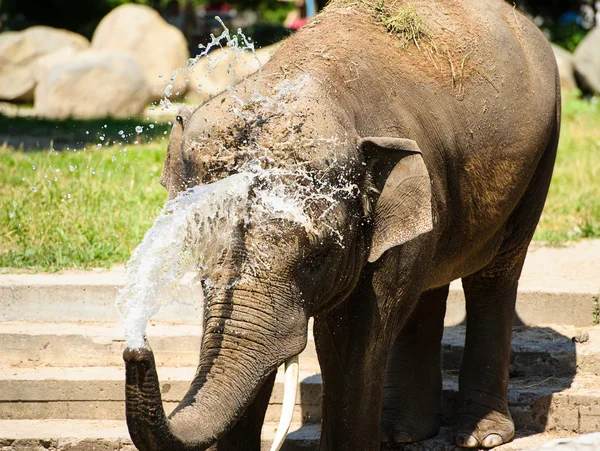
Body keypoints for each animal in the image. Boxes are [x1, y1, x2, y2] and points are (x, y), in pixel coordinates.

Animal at [124, 0, 560, 450]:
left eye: (316, 257)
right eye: (196, 256)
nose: (136, 349)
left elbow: (351, 337)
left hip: (544, 147)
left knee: (494, 275)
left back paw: (480, 437)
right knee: (428, 283)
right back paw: (403, 433)